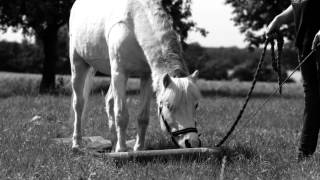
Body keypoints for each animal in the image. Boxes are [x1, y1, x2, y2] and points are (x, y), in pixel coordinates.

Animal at [69, 0, 201, 152]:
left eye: (196, 105)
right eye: (168, 106)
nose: (191, 142)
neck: (134, 23)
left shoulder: (146, 77)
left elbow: (143, 117)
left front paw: (138, 148)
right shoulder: (120, 74)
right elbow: (121, 114)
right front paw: (121, 149)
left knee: (109, 101)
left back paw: (113, 143)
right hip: (78, 64)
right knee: (79, 104)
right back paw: (77, 144)